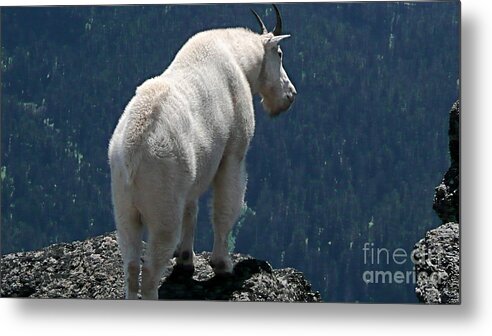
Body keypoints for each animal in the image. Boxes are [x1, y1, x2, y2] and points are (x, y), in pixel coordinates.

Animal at [107, 5, 296, 300]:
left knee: (130, 264)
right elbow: (225, 206)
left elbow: (192, 208)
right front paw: (222, 265)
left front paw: (185, 258)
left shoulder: (194, 173)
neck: (239, 60)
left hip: (123, 206)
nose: (290, 95)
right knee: (149, 272)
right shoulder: (233, 153)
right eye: (279, 54)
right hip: (163, 206)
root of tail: (131, 154)